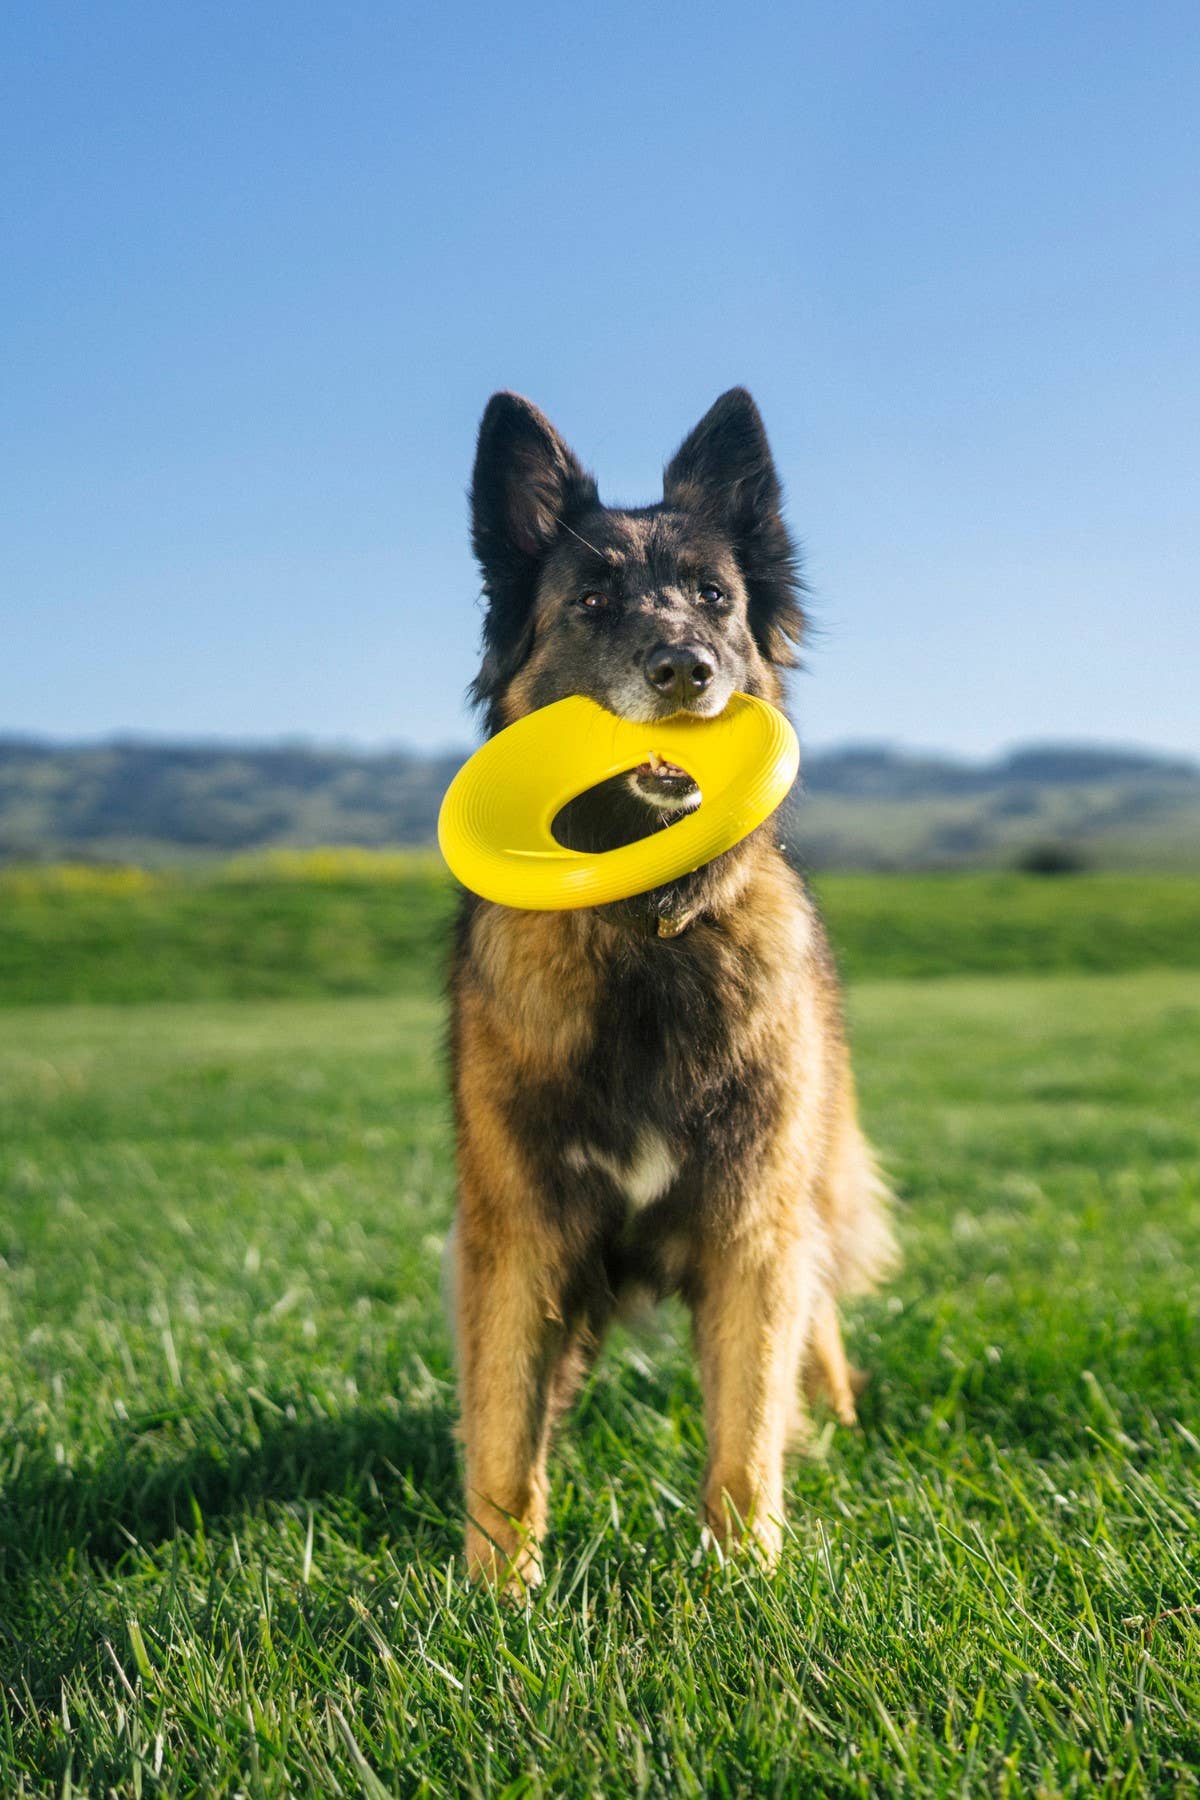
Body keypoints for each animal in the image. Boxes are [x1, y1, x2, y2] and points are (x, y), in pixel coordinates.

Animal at [447, 387, 892, 1584]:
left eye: (714, 597)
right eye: (593, 599)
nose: (686, 667)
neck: (642, 931)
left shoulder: (753, 1227)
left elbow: (747, 1427)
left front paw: (745, 1578)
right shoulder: (519, 1232)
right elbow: (502, 1439)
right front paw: (496, 1597)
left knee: (817, 1334)